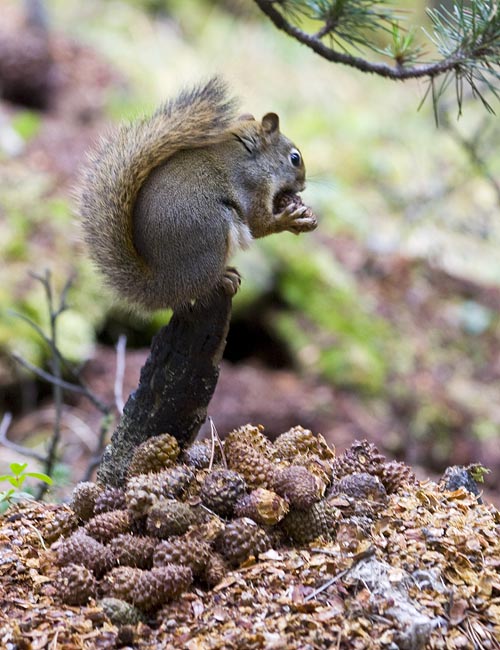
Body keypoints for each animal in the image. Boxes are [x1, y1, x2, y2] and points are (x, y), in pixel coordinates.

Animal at [80, 78, 318, 312]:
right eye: (295, 158)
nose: (303, 186)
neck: (253, 158)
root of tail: (161, 286)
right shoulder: (251, 186)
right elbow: (258, 224)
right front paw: (289, 219)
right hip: (212, 230)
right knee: (199, 286)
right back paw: (222, 277)